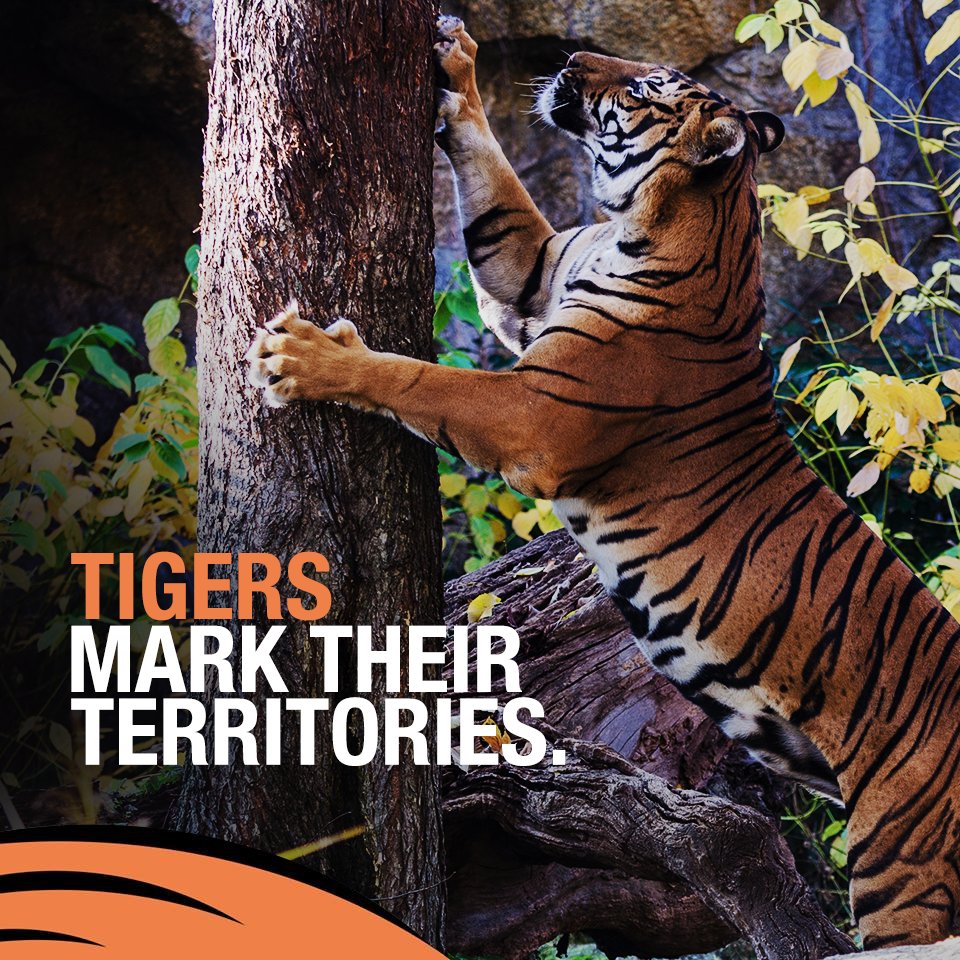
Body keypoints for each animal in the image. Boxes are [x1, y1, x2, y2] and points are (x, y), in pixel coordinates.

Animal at [247, 14, 960, 949]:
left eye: (647, 84)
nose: (576, 56)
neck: (648, 219)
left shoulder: (533, 415)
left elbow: (418, 380)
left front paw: (303, 357)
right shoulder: (529, 274)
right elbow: (497, 191)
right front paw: (456, 64)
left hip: (904, 875)